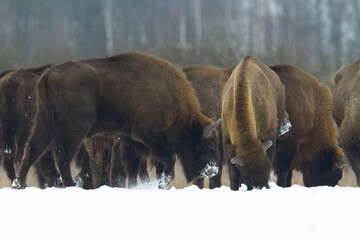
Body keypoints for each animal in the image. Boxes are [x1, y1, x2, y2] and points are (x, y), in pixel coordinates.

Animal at [14, 52, 221, 189]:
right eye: (208, 146)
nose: (213, 170)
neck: (167, 93)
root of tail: (48, 75)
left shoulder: (133, 141)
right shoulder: (149, 135)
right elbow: (167, 159)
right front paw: (161, 183)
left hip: (44, 123)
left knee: (31, 150)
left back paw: (19, 184)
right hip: (73, 130)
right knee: (62, 158)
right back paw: (70, 185)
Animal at [221, 56, 286, 191]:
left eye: (266, 165)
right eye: (246, 174)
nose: (262, 186)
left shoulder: (269, 134)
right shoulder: (226, 139)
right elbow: (232, 173)